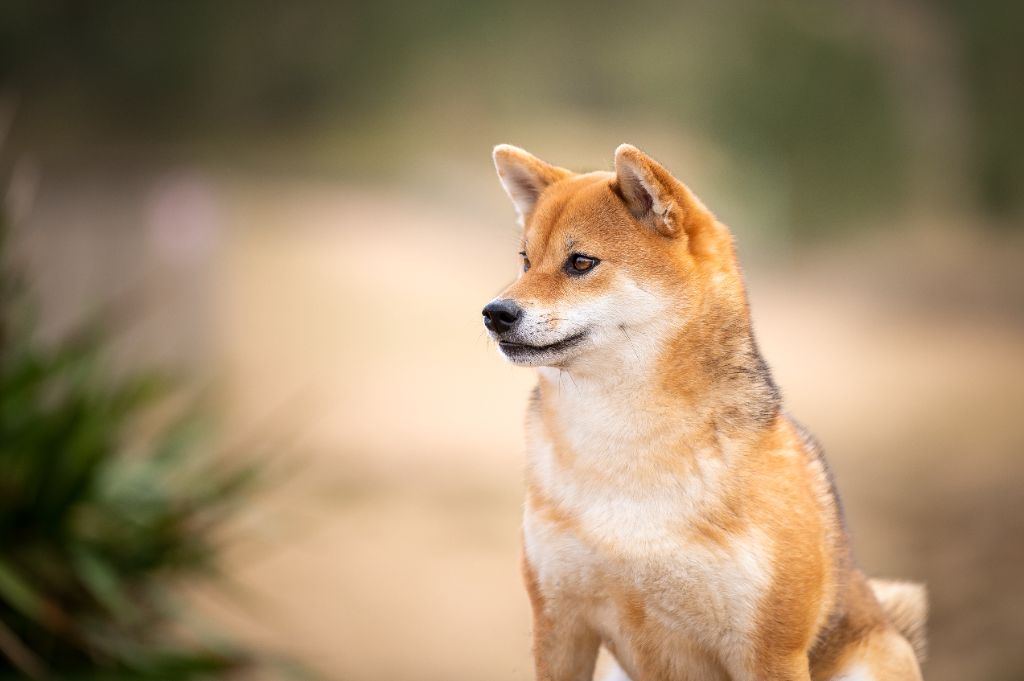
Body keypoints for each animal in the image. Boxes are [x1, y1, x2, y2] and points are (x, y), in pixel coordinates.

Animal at [481, 144, 929, 679]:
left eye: (581, 262)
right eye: (526, 261)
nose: (494, 313)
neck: (626, 450)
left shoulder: (770, 652)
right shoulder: (559, 627)